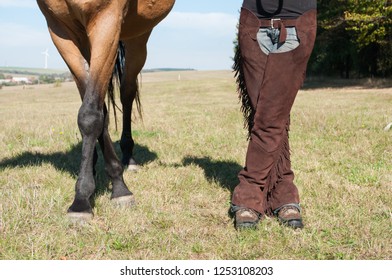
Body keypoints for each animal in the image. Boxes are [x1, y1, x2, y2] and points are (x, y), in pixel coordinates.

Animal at [37, 0, 176, 223]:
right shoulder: (60, 29)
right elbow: (96, 111)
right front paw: (98, 183)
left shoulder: (106, 18)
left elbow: (90, 115)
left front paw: (90, 198)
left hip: (137, 36)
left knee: (127, 92)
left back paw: (129, 157)